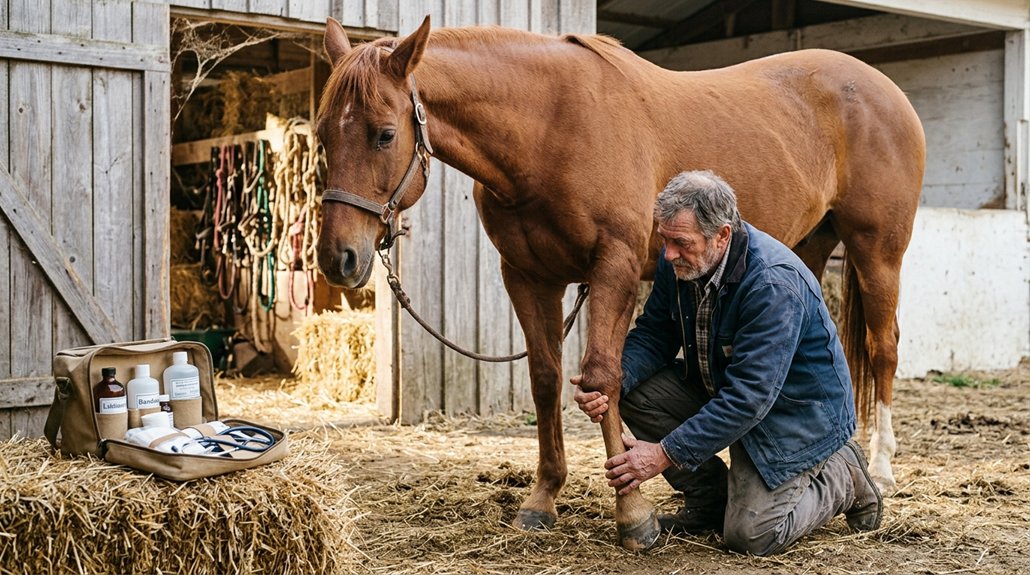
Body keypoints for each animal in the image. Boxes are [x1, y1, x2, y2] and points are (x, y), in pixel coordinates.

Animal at [315, 16, 925, 550]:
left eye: (384, 135)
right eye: (323, 135)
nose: (339, 258)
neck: (547, 127)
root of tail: (885, 89)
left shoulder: (615, 268)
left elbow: (602, 378)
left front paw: (632, 514)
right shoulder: (528, 277)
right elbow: (547, 380)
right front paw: (543, 498)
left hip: (878, 250)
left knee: (883, 347)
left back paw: (880, 469)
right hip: (811, 247)